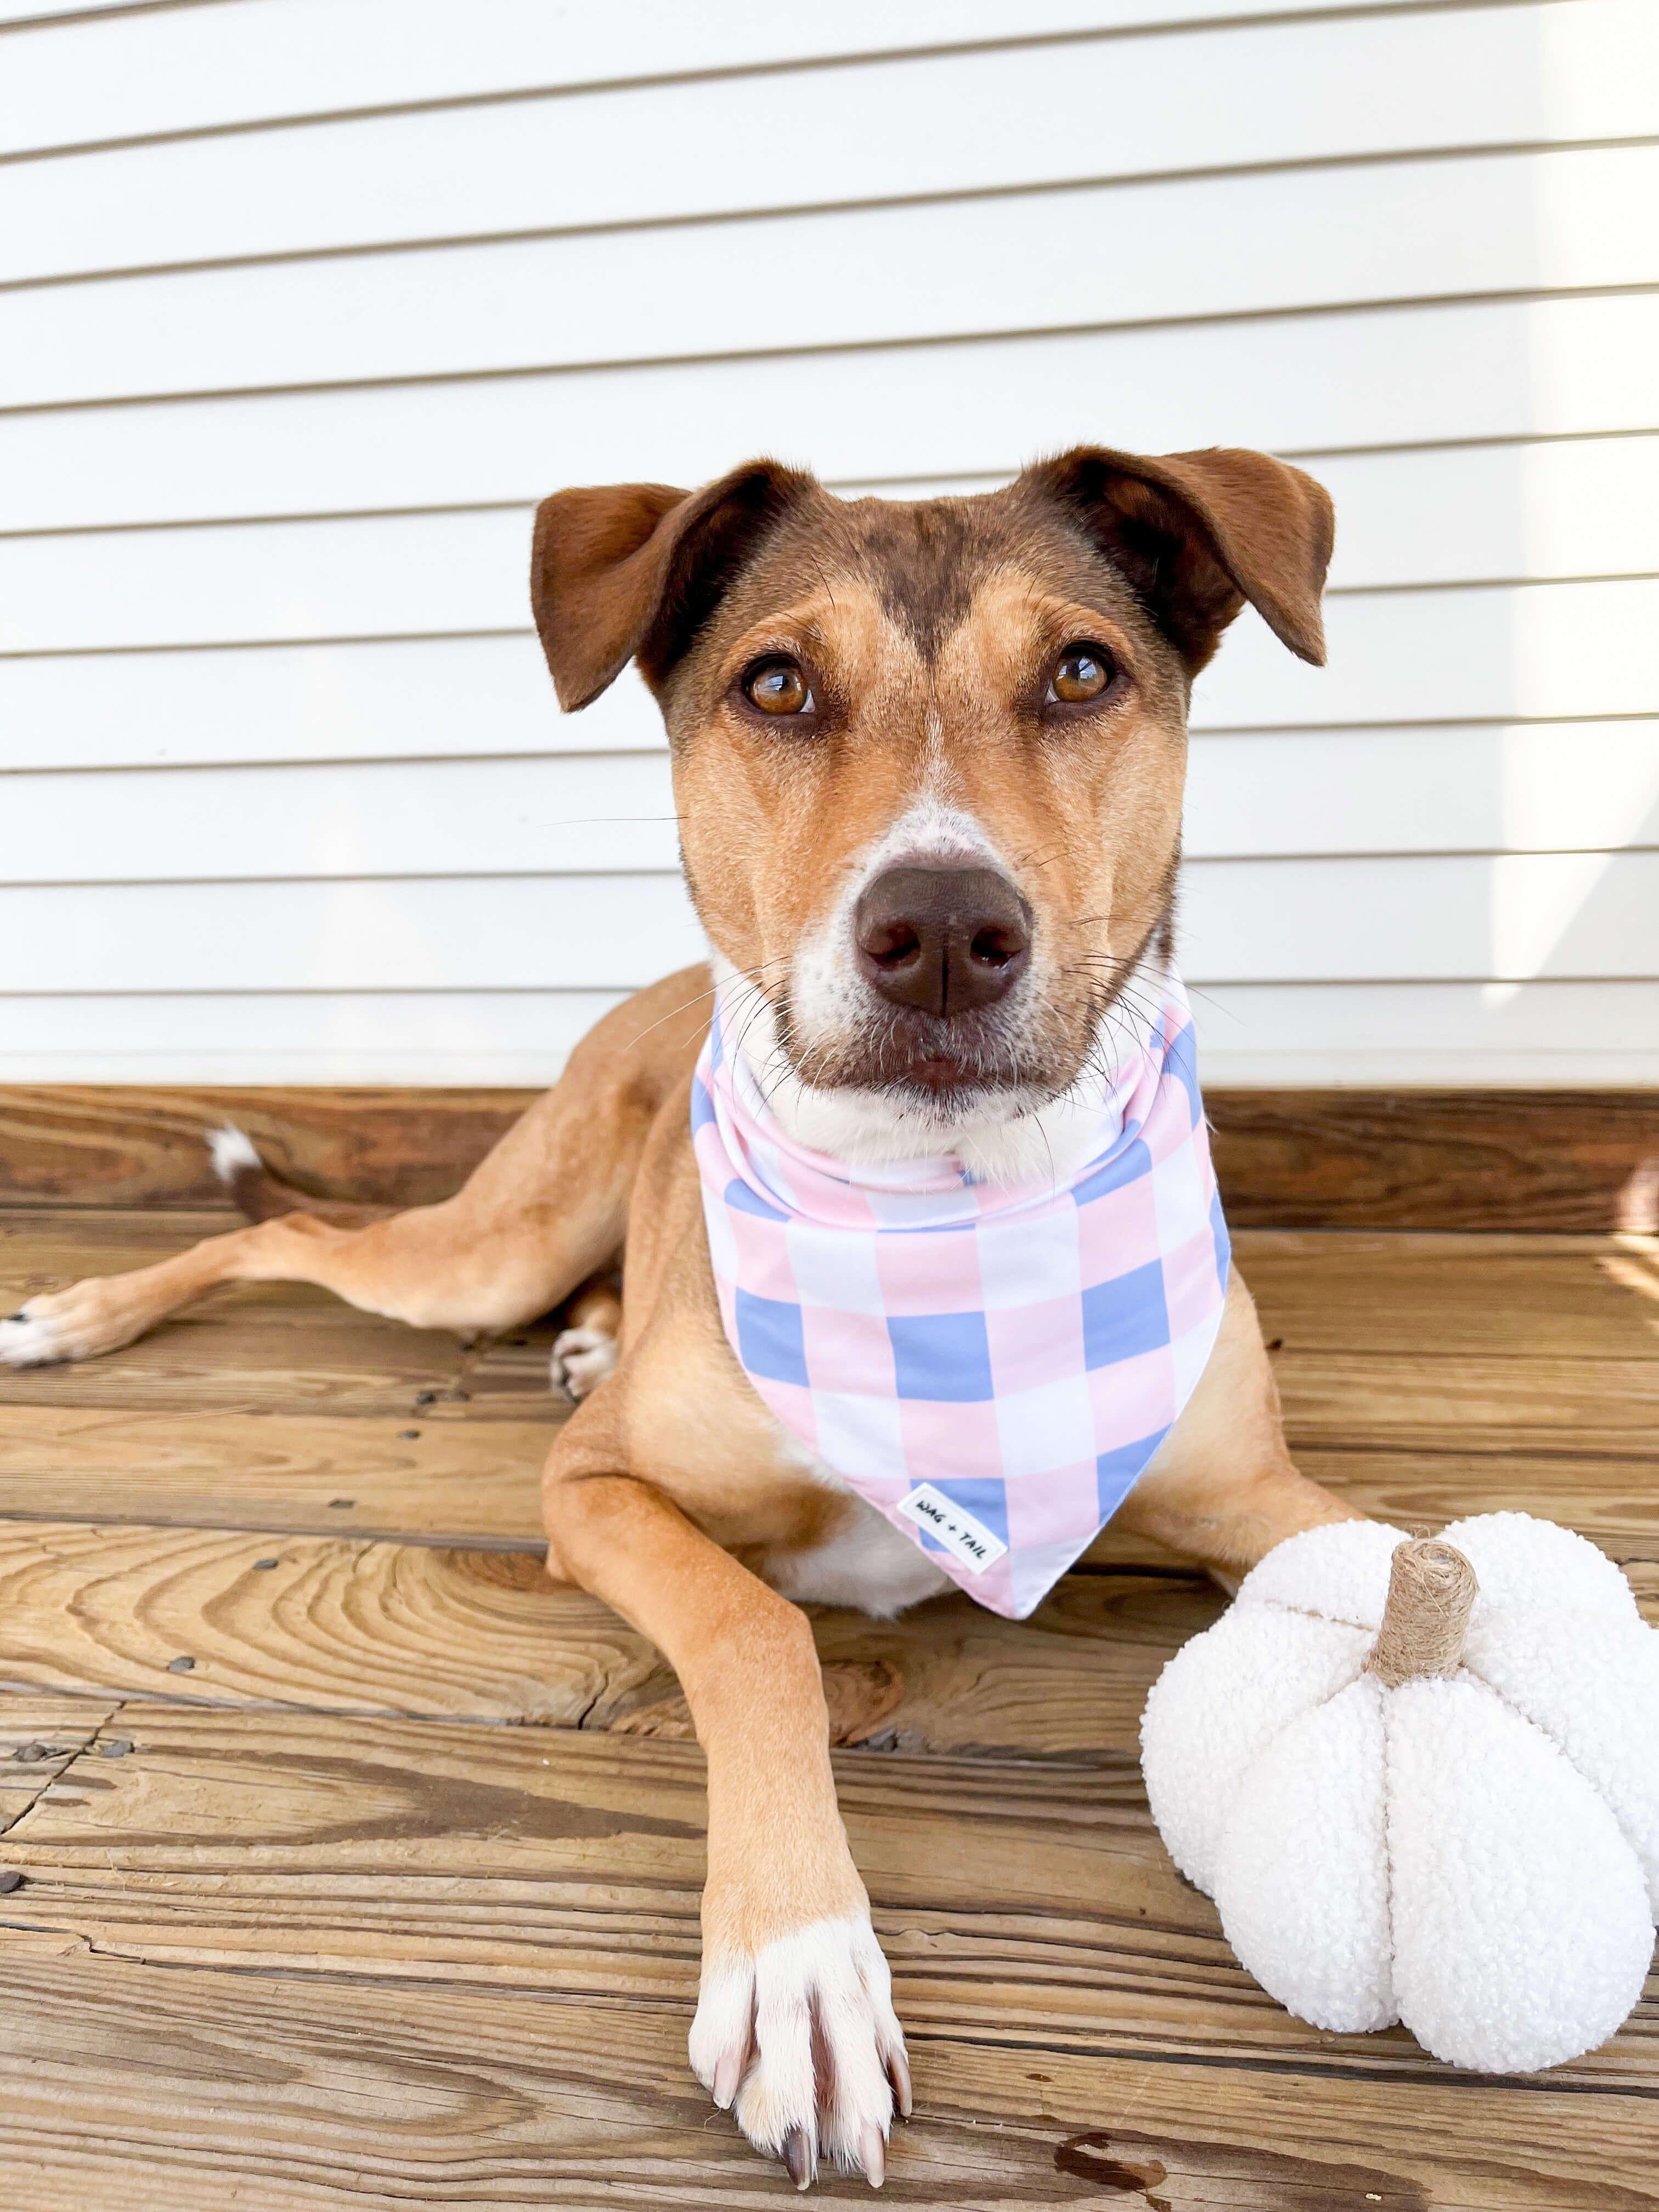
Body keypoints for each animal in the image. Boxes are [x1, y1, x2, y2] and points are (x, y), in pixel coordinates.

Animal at [3, 449, 1362, 2194]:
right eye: (776, 684)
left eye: (1082, 673)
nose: (940, 932)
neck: (943, 1213)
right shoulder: (590, 1489)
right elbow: (758, 1626)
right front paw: (799, 1966)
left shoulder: (1263, 1494)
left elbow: (1441, 1573)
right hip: (489, 1248)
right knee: (299, 1230)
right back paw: (77, 1317)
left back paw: (587, 1332)